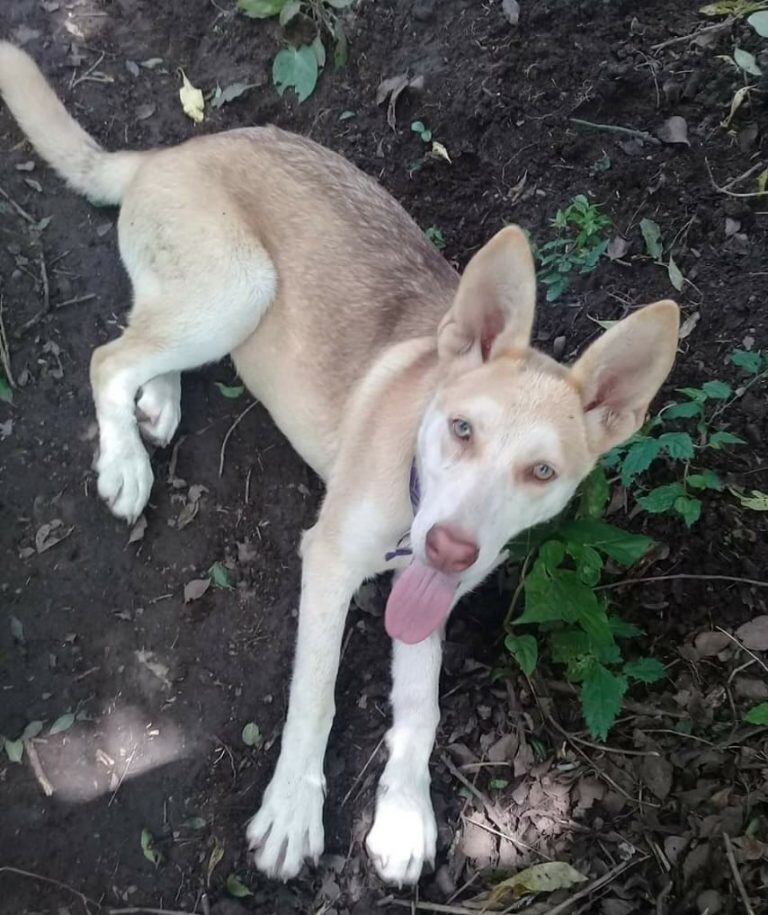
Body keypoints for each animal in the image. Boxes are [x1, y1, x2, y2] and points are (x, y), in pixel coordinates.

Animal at [0, 43, 680, 888]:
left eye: (543, 473)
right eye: (461, 428)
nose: (450, 547)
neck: (407, 482)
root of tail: (172, 151)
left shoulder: (429, 598)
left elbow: (420, 710)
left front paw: (405, 815)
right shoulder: (325, 560)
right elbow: (316, 696)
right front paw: (294, 809)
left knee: (141, 337)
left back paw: (157, 403)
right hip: (241, 284)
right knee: (109, 355)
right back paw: (125, 457)